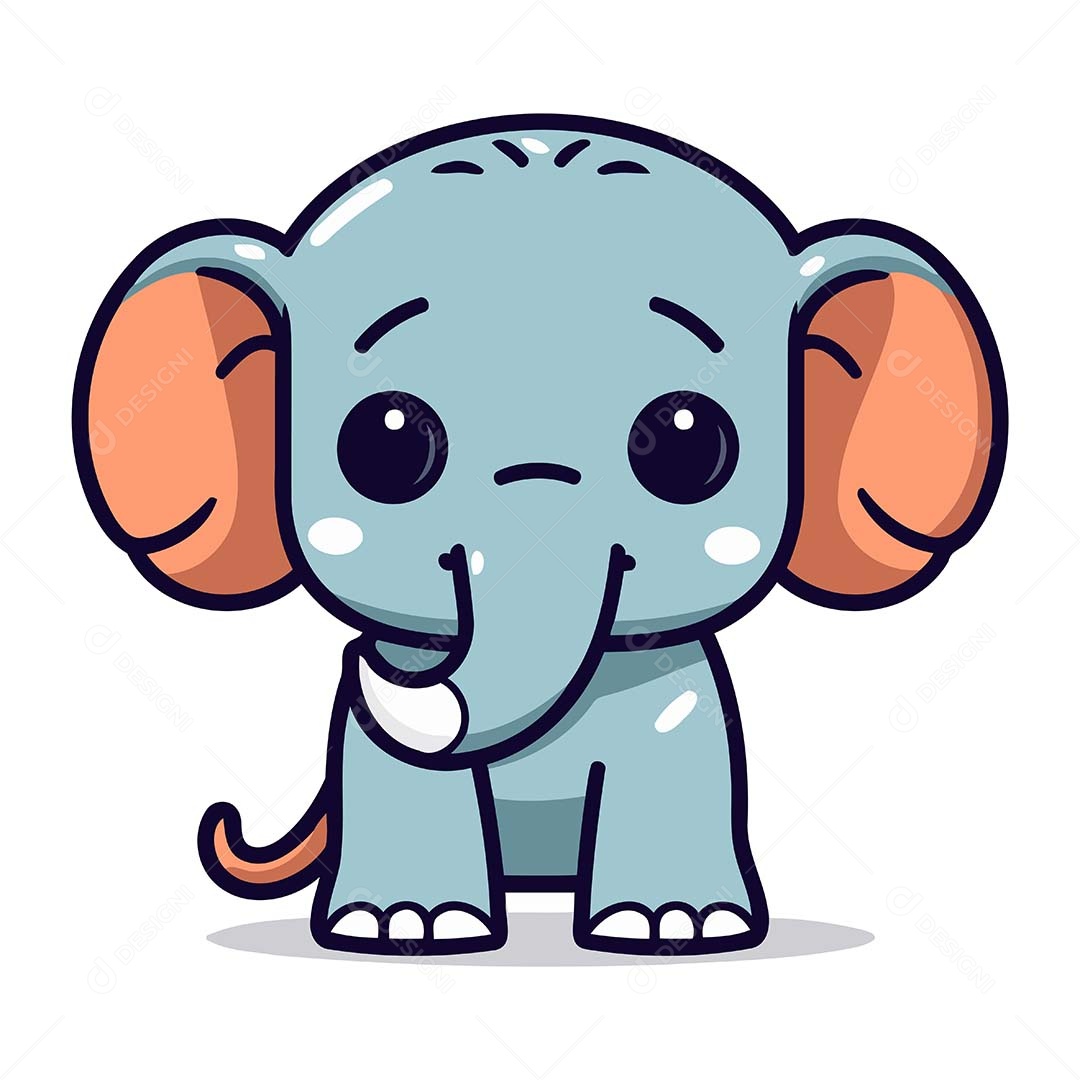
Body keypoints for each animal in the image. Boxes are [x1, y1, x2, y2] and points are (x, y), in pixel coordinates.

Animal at [73, 113, 1006, 956]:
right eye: (385, 441)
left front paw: (675, 928)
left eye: (688, 440)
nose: (366, 661)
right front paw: (404, 928)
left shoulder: (682, 709)